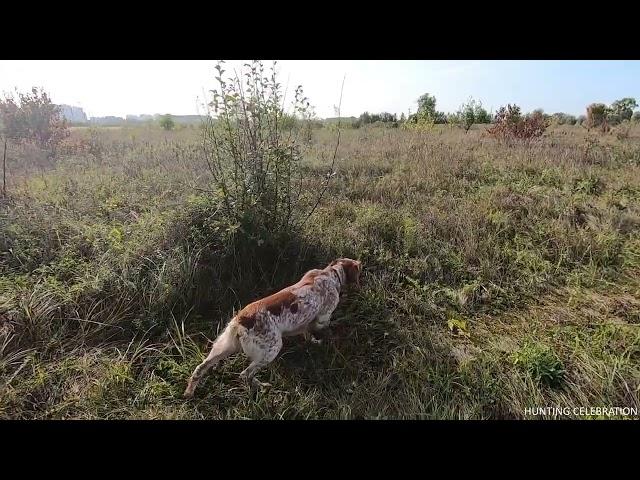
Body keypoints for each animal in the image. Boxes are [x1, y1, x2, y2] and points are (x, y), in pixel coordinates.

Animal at [185, 258, 362, 398]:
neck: (330, 274)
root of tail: (240, 320)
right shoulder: (323, 317)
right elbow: (323, 328)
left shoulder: (305, 322)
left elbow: (307, 332)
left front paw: (313, 341)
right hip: (271, 349)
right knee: (245, 375)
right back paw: (262, 387)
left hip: (224, 347)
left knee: (200, 368)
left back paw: (189, 392)